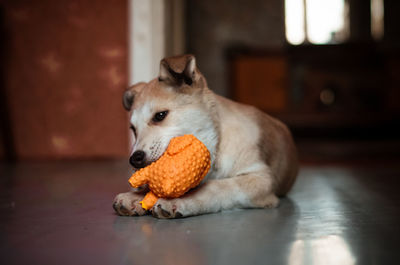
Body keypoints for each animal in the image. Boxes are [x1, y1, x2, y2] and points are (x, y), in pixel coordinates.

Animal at [112, 54, 296, 218]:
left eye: (160, 115)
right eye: (133, 129)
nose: (134, 159)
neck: (218, 142)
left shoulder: (260, 178)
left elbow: (215, 187)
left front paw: (181, 200)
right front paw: (136, 196)